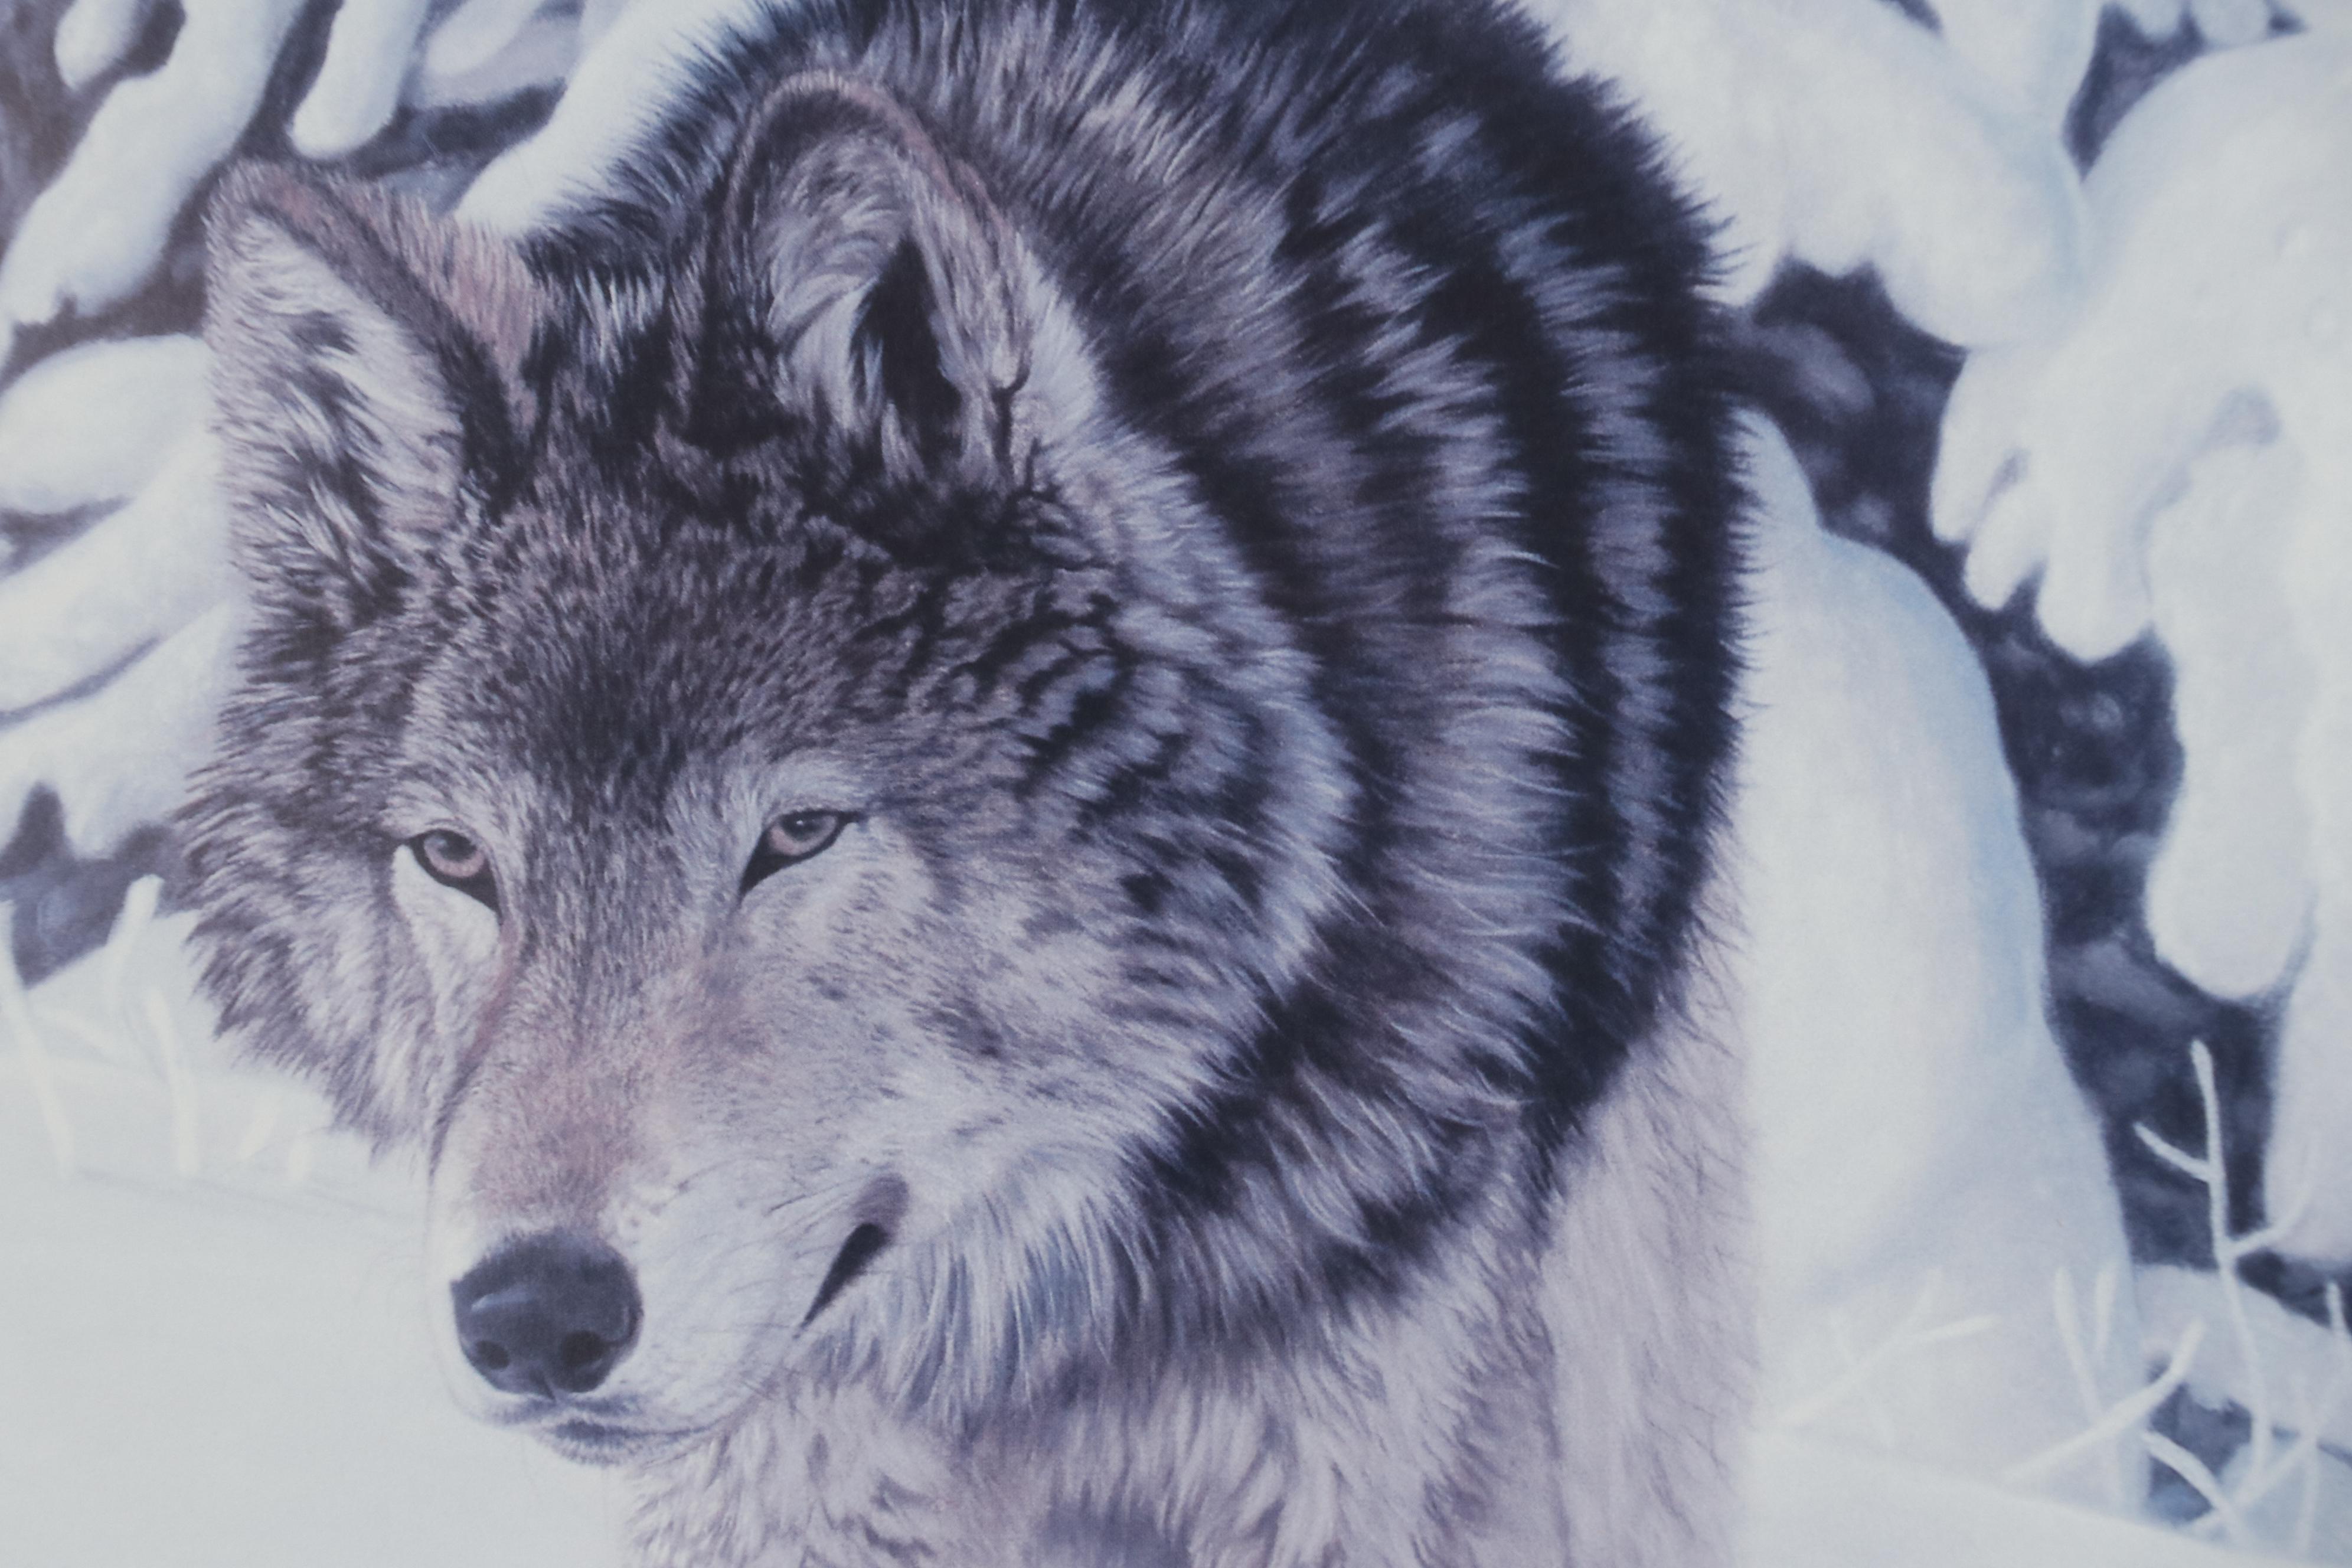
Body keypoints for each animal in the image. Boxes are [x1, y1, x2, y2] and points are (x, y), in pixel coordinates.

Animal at [179, 0, 1751, 1561]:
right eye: (457, 859)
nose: (532, 1315)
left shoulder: (1351, 1472)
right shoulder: (789, 1479)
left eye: (799, 833)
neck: (1023, 1329)